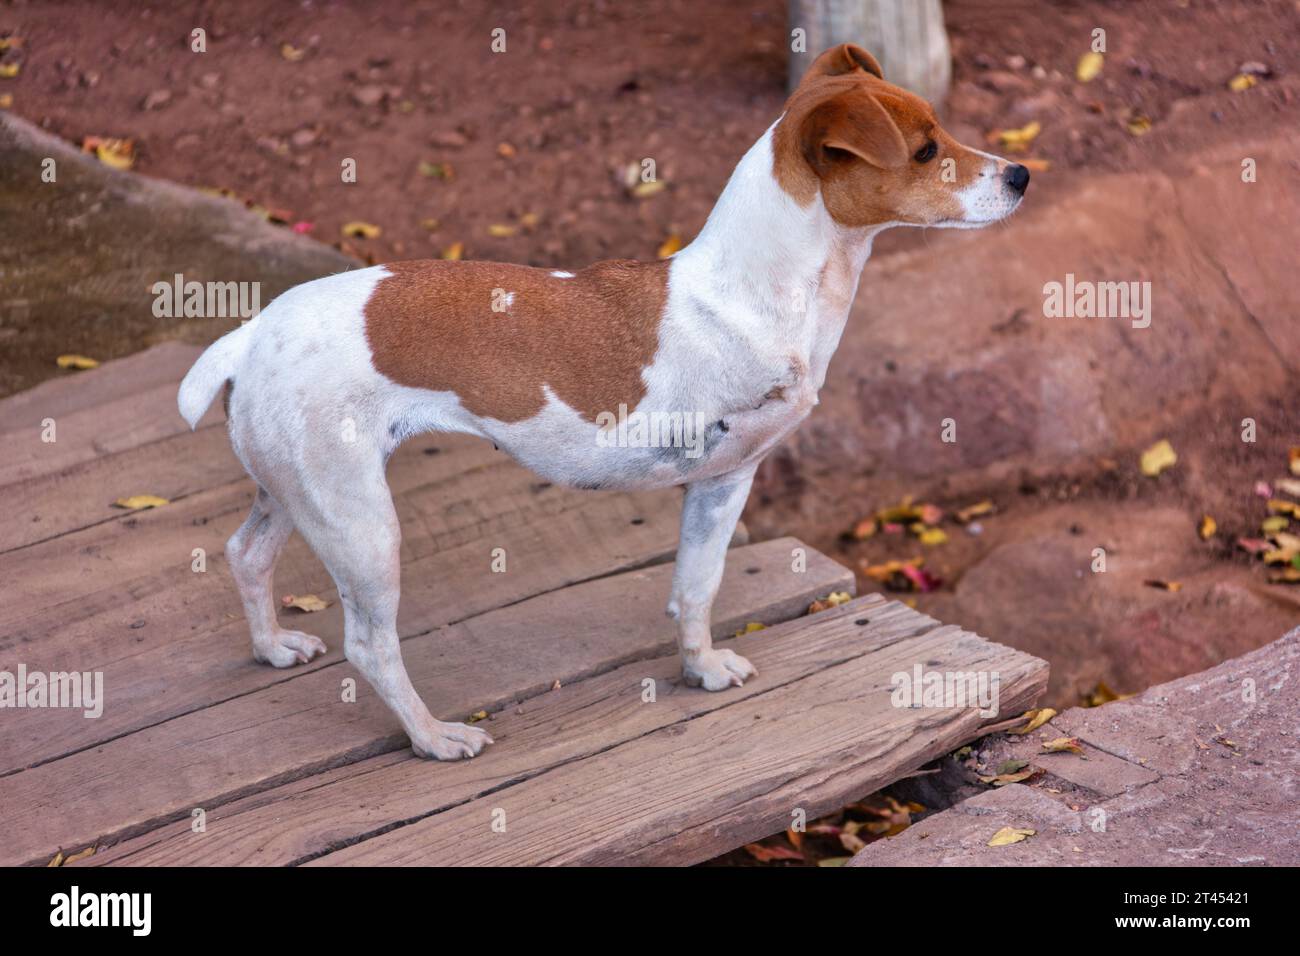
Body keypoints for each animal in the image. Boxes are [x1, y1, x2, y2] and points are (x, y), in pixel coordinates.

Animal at [175, 46, 1024, 764]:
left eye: (942, 132)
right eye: (926, 151)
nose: (1020, 174)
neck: (755, 292)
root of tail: (250, 333)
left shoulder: (717, 485)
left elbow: (694, 589)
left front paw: (700, 671)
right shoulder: (728, 476)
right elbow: (699, 585)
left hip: (293, 491)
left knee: (246, 554)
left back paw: (272, 647)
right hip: (361, 527)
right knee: (370, 646)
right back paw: (433, 737)